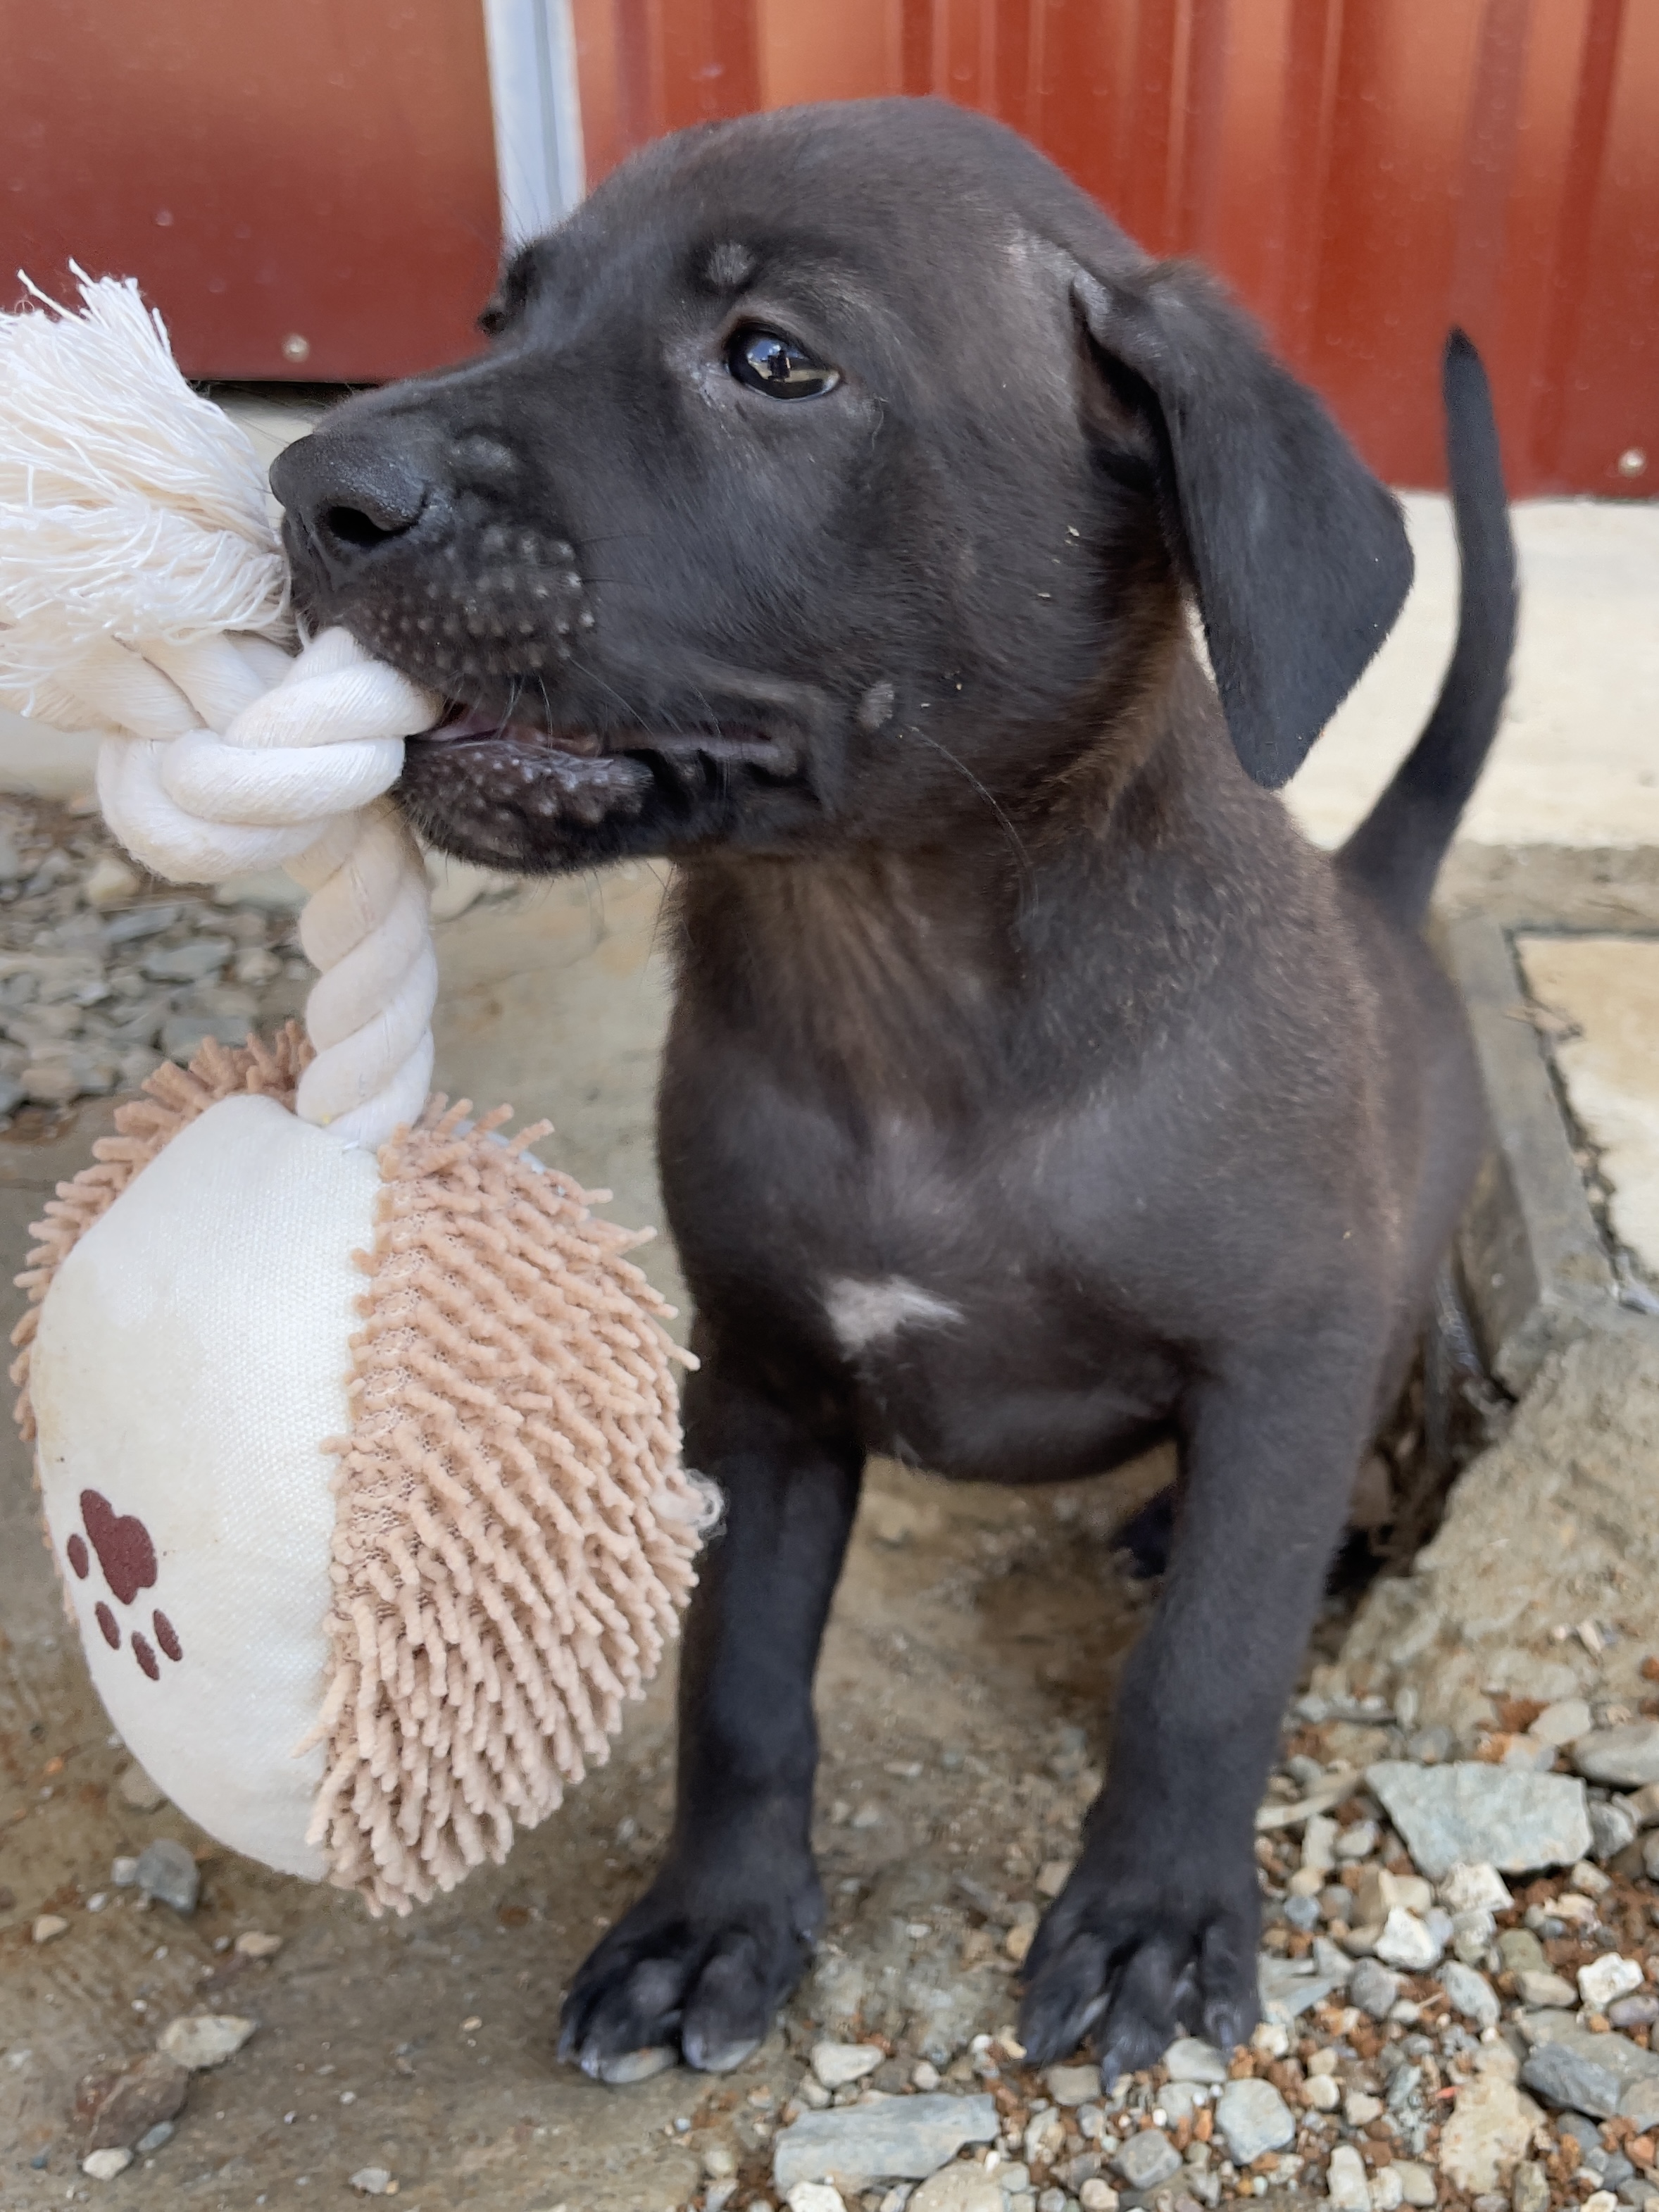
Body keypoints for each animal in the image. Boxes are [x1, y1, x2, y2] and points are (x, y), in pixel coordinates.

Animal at [271, 96, 1517, 2085]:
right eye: (502, 310)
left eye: (776, 360)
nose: (310, 487)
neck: (901, 989)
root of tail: (1381, 896)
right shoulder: (761, 1378)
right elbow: (739, 1684)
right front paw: (709, 1924)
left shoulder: (1289, 1348)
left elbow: (1206, 1665)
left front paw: (1154, 1912)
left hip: (1377, 1332)